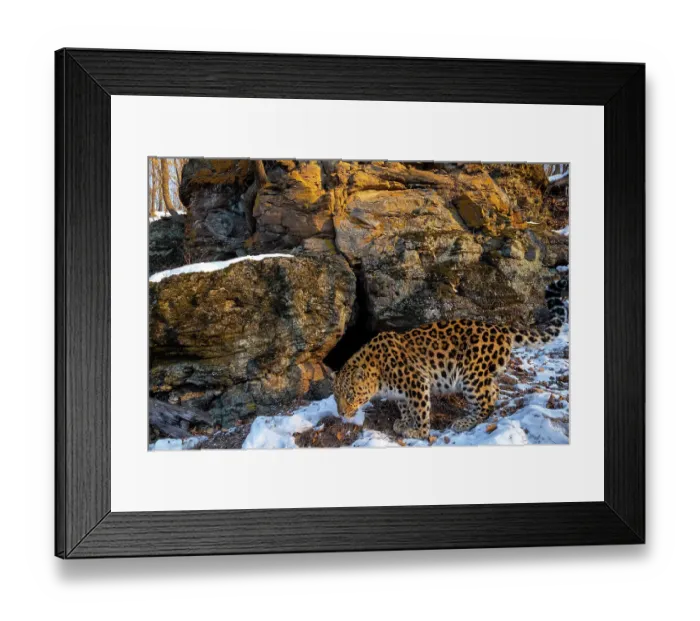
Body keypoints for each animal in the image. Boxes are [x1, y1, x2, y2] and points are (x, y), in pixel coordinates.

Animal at [333, 277, 568, 439]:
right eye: (336, 397)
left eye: (351, 395)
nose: (342, 413)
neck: (378, 374)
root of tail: (500, 328)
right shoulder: (401, 393)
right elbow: (405, 407)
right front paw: (405, 422)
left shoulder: (417, 382)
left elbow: (420, 410)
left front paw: (418, 432)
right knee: (494, 391)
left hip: (471, 376)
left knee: (487, 402)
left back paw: (464, 422)